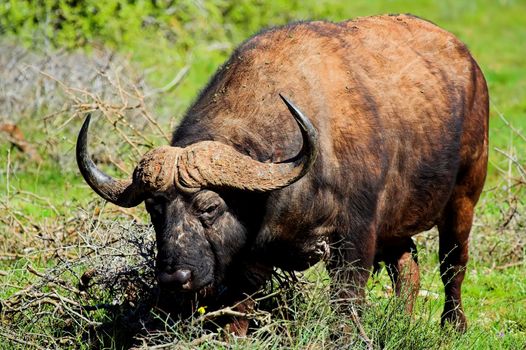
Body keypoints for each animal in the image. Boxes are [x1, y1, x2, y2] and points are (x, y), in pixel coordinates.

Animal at [77, 13, 490, 330]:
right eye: (154, 209)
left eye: (210, 207)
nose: (174, 278)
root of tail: (469, 62)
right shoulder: (248, 262)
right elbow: (238, 313)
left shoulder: (353, 240)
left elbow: (346, 307)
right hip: (396, 224)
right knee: (408, 267)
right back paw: (400, 322)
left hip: (463, 198)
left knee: (452, 265)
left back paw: (453, 326)